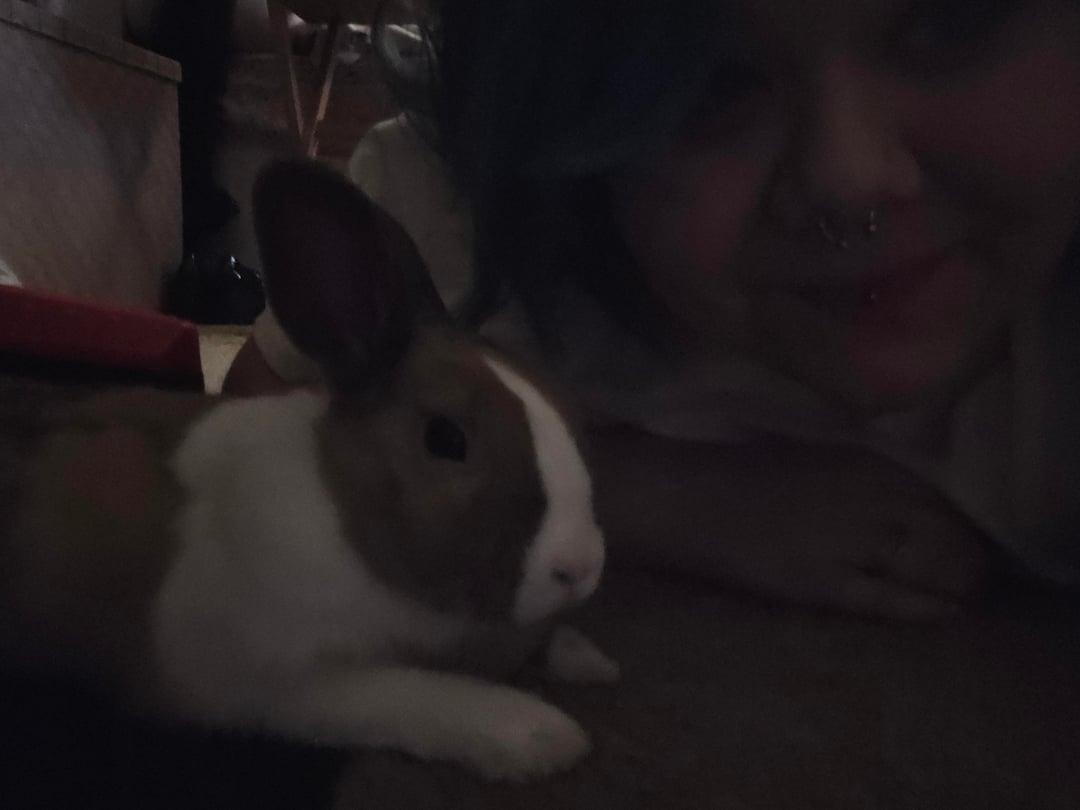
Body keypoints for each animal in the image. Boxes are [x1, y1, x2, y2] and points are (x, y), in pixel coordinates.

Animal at [0, 160, 618, 782]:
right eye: (446, 438)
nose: (581, 568)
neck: (345, 514)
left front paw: (590, 660)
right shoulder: (282, 685)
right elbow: (413, 697)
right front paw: (540, 735)